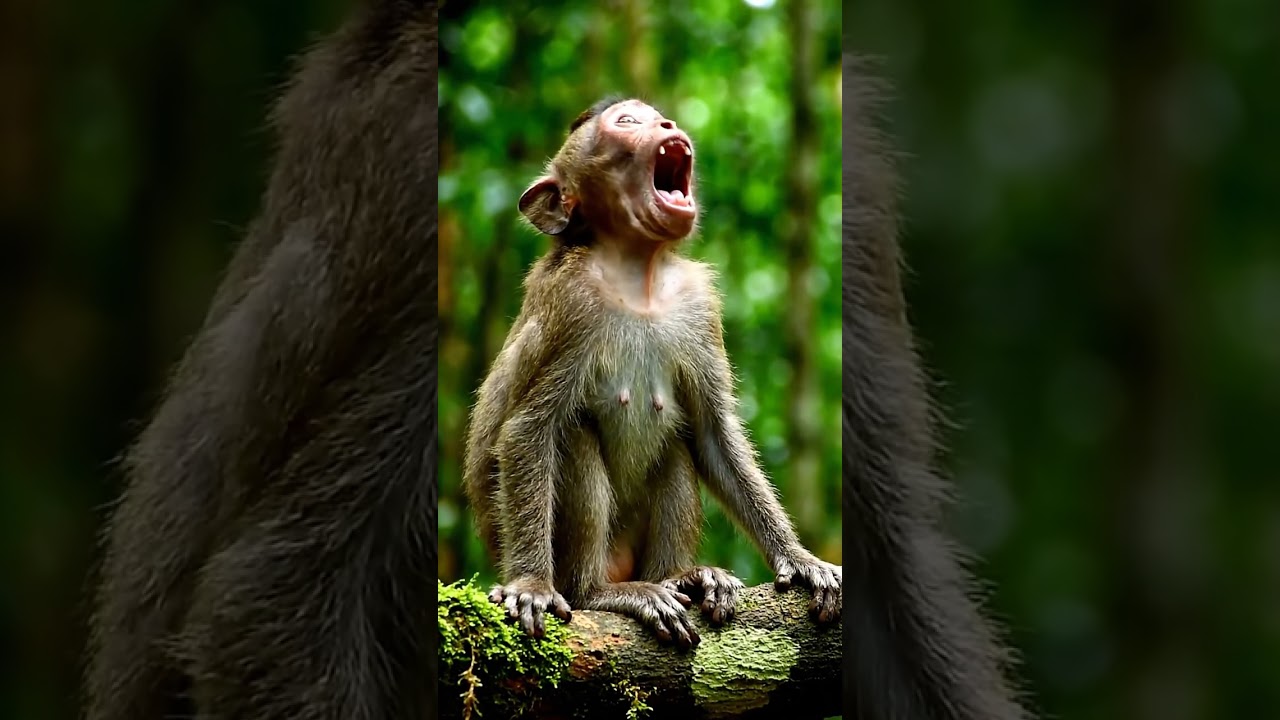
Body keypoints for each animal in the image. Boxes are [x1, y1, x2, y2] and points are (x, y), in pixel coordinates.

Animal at [461, 96, 842, 650]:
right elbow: (526, 430)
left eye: (653, 114)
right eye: (626, 122)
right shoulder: (571, 306)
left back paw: (683, 577)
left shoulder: (700, 306)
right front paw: (530, 585)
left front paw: (799, 558)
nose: (667, 124)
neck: (637, 274)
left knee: (676, 450)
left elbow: (713, 437)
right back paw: (602, 592)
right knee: (574, 437)